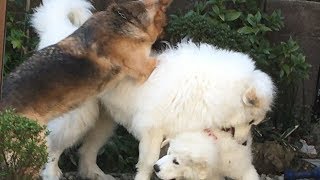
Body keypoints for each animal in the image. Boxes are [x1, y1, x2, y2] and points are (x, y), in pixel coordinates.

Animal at [31, 0, 276, 180]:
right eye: (252, 121)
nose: (243, 144)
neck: (207, 87)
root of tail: (61, 31)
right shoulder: (152, 131)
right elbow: (149, 163)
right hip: (78, 118)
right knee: (54, 146)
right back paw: (51, 173)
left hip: (104, 120)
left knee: (87, 150)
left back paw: (95, 173)